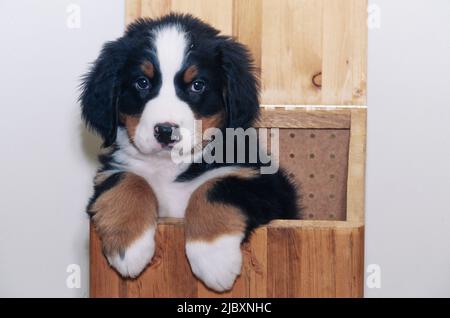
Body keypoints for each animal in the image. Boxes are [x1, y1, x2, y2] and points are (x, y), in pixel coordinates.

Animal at [81, 13, 300, 292]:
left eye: (197, 85)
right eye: (142, 82)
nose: (165, 131)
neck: (169, 166)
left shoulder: (264, 182)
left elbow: (214, 188)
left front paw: (213, 257)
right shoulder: (110, 172)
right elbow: (128, 181)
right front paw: (129, 247)